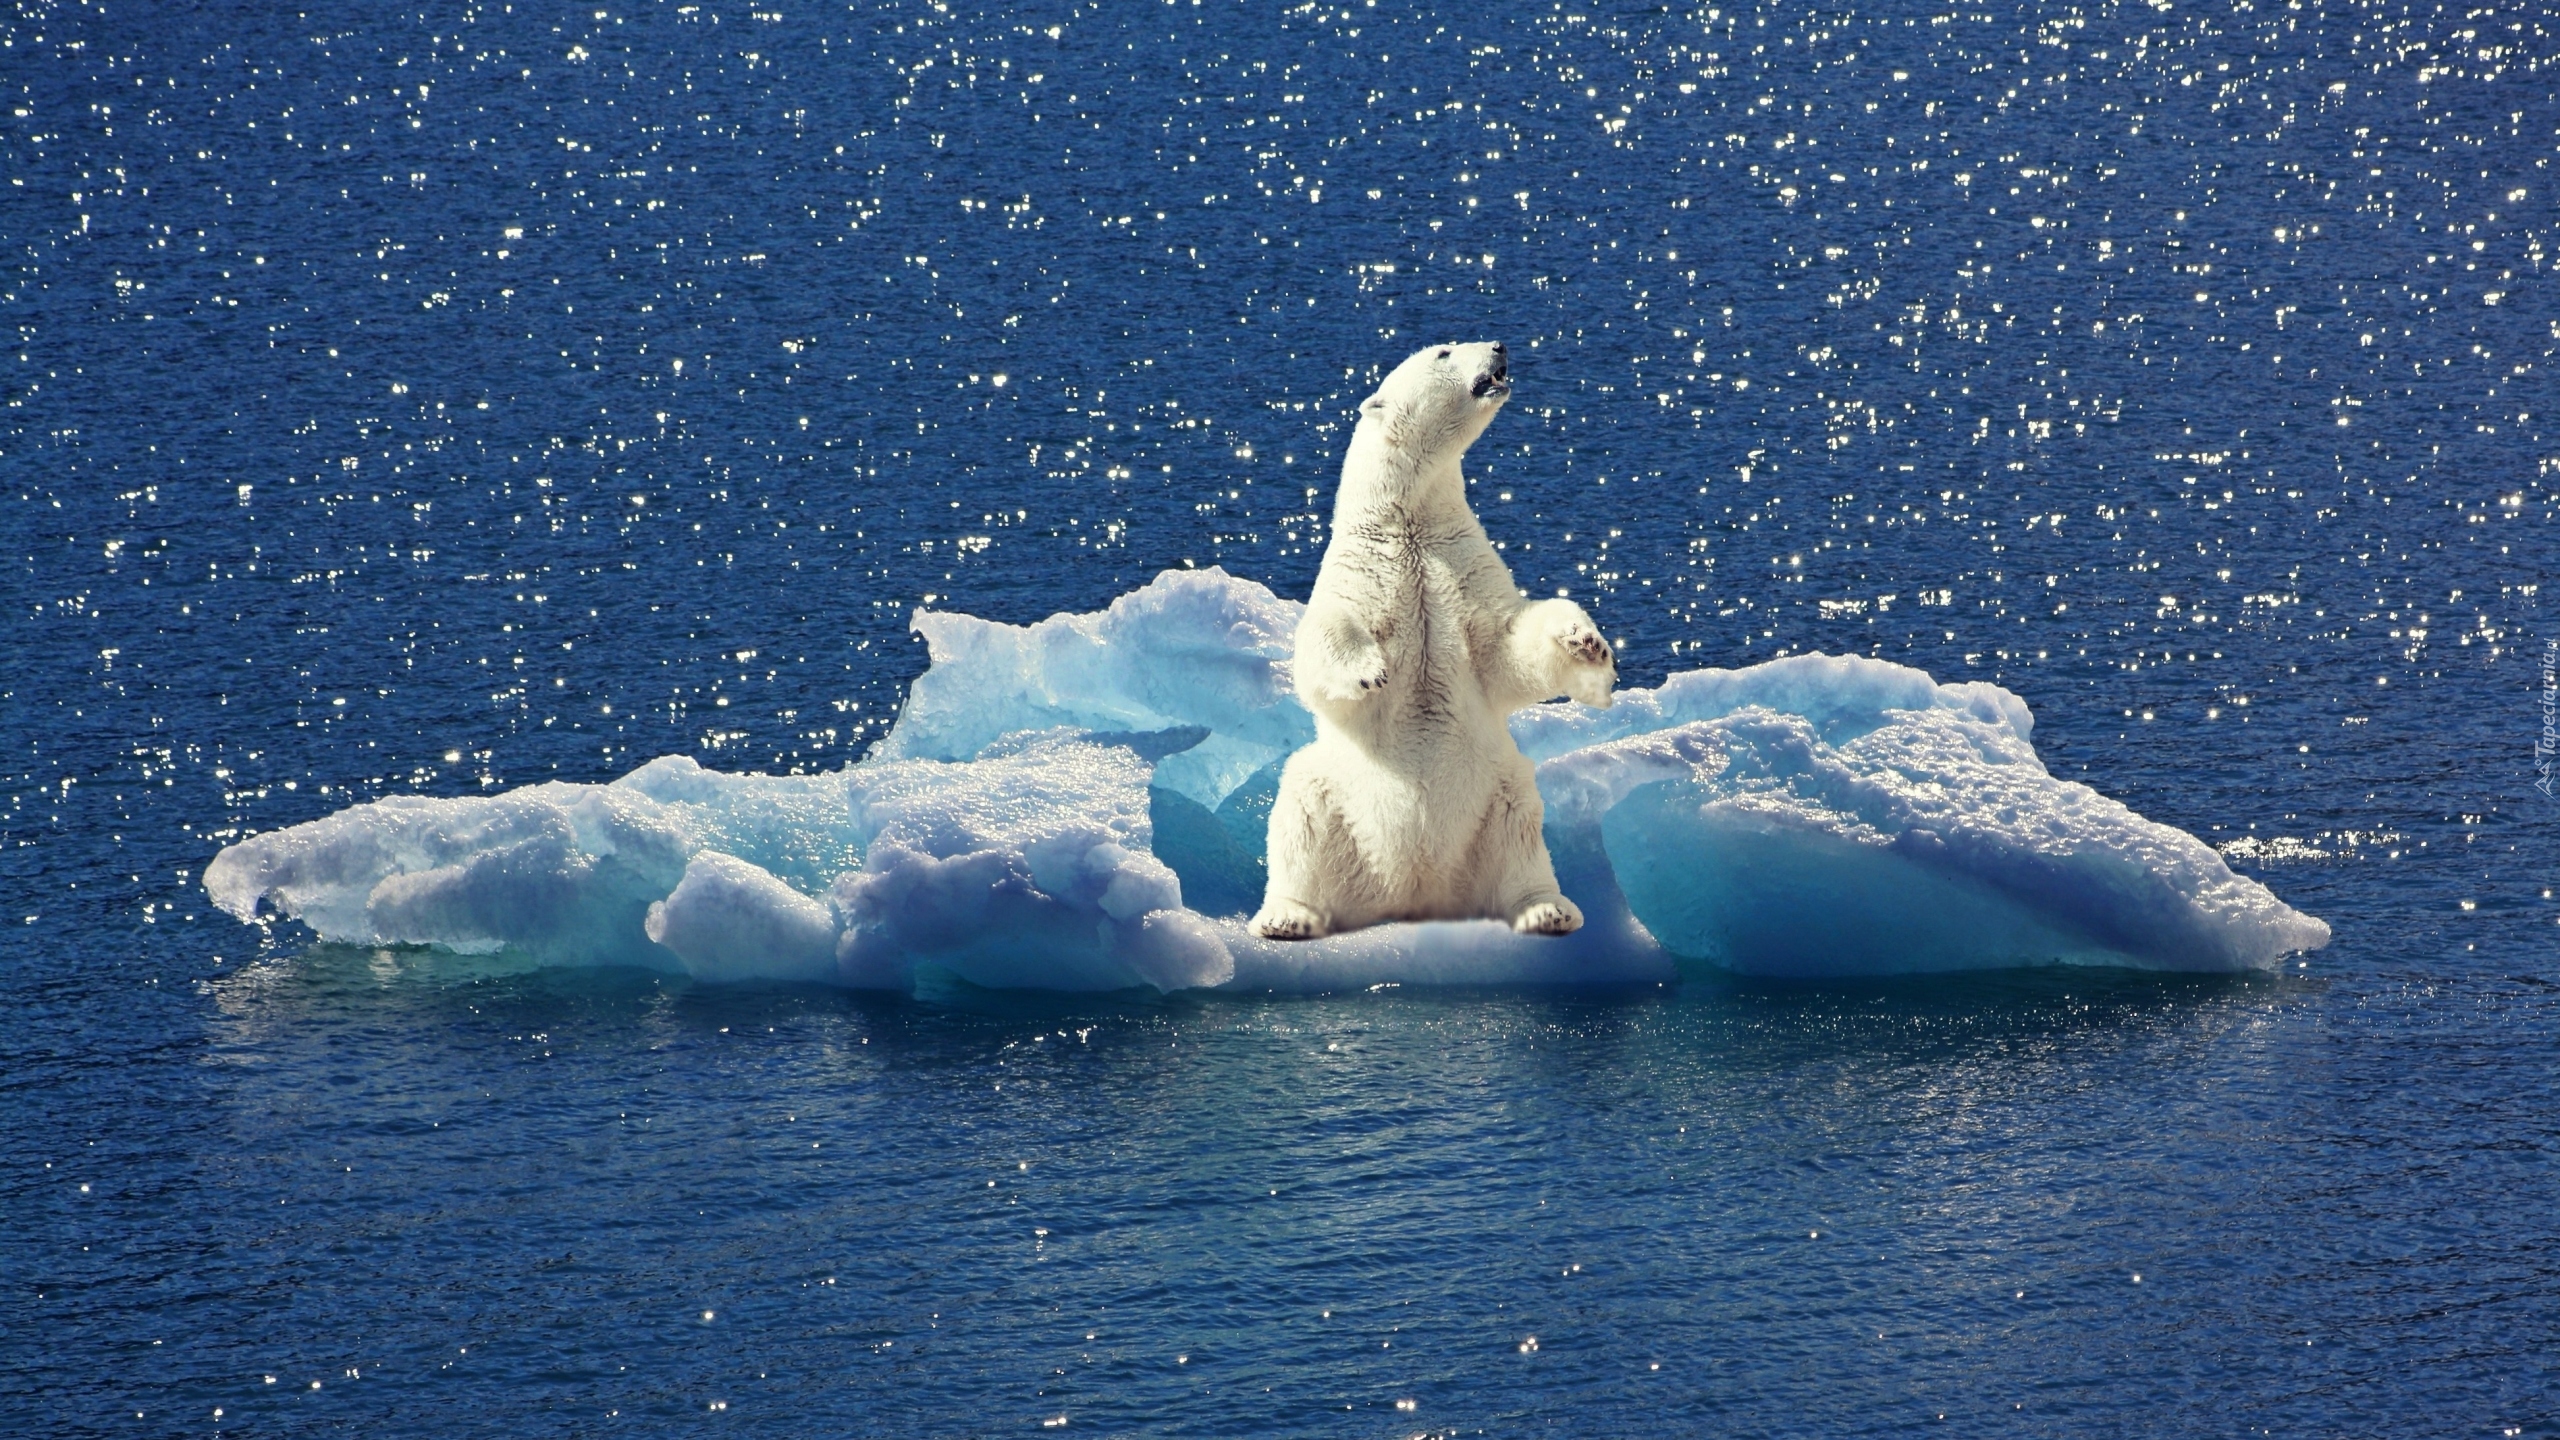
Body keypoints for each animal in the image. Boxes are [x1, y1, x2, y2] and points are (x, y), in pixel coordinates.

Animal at [1249, 340, 1607, 937]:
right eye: (1444, 351)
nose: (1499, 345)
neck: (1409, 522)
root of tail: (1415, 892)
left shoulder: (1460, 564)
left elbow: (1505, 647)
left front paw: (1587, 643)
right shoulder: (1363, 569)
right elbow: (1326, 636)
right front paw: (1369, 671)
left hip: (1497, 794)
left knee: (1521, 831)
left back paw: (1547, 909)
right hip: (1335, 795)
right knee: (1300, 811)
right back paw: (1287, 917)